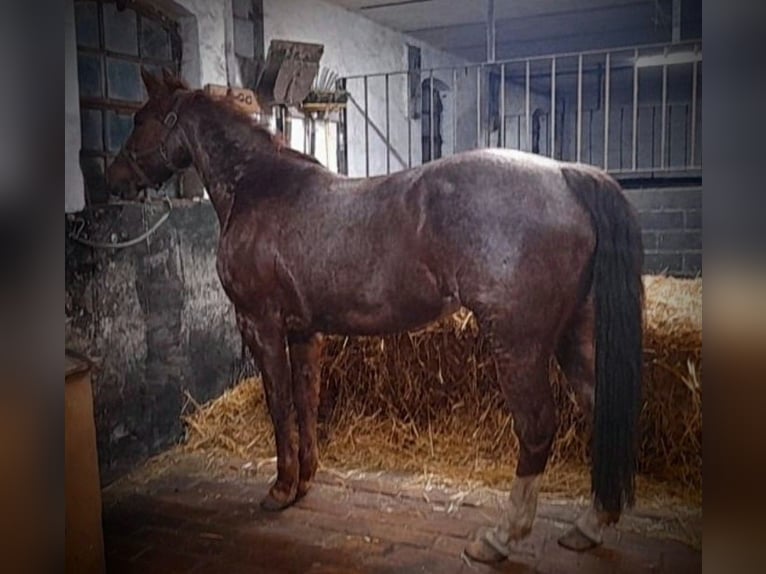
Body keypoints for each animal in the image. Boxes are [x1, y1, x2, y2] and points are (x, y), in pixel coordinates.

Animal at [108, 68, 644, 568]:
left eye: (140, 119)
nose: (114, 179)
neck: (257, 188)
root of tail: (566, 173)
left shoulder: (261, 325)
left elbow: (279, 404)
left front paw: (280, 490)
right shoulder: (304, 332)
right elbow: (306, 401)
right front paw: (305, 480)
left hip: (520, 345)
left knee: (535, 429)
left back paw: (500, 537)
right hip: (573, 336)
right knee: (599, 406)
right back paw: (589, 525)